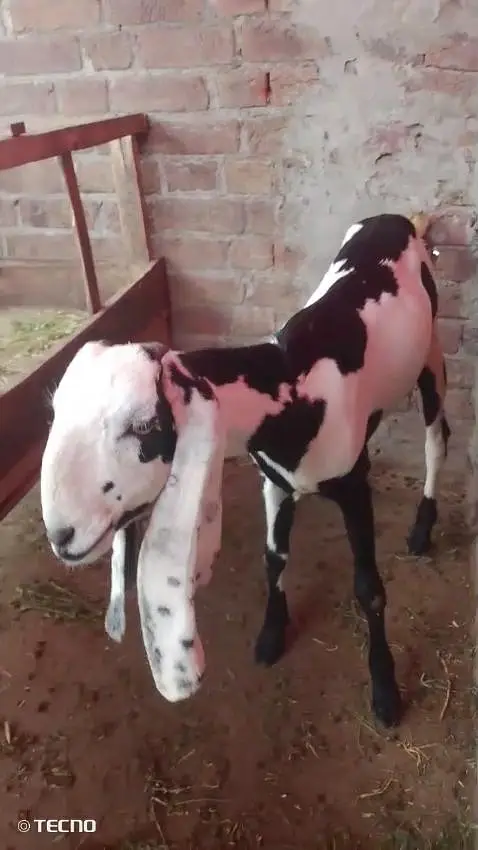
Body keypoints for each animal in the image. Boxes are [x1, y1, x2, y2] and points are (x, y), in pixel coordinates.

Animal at [40, 212, 448, 727]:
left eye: (144, 424)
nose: (62, 536)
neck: (291, 386)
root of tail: (395, 218)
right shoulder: (275, 481)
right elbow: (274, 556)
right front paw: (272, 635)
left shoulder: (355, 485)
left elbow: (368, 588)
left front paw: (385, 691)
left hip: (432, 353)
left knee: (437, 437)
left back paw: (423, 528)